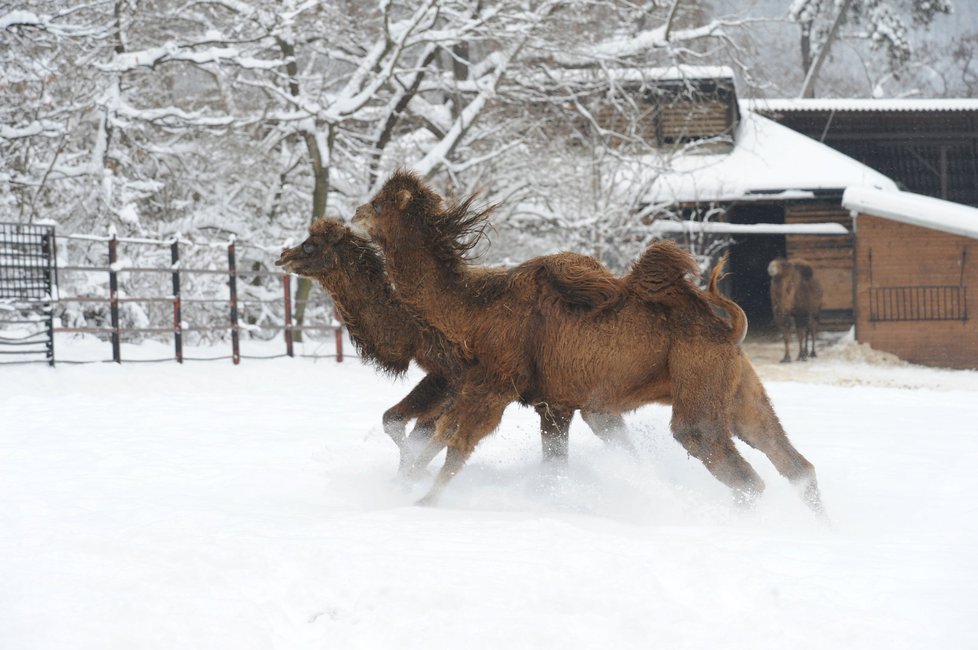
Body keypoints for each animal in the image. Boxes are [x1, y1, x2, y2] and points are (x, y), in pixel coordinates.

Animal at [272, 218, 632, 470]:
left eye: (311, 245)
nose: (283, 256)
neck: (412, 329)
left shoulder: (448, 375)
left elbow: (404, 424)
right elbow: (406, 424)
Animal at [350, 170, 824, 512]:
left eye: (379, 203)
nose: (355, 211)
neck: (475, 311)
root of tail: (727, 328)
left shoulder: (494, 384)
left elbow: (453, 441)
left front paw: (423, 501)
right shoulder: (553, 404)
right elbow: (543, 457)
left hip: (699, 385)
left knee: (737, 469)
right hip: (737, 390)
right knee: (794, 463)